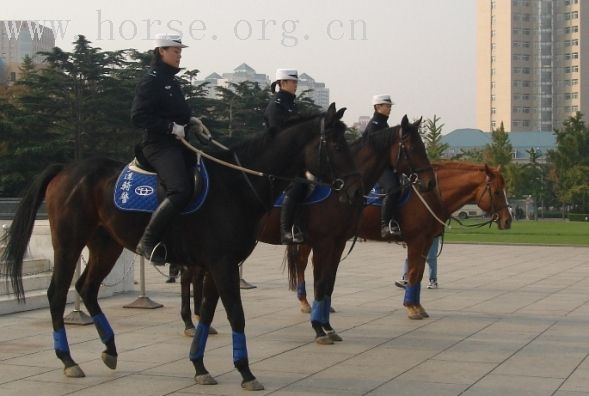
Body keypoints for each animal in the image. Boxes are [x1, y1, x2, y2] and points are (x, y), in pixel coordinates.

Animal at [0, 103, 360, 392]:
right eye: (337, 143)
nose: (354, 189)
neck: (237, 185)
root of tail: (66, 168)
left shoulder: (218, 264)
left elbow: (208, 313)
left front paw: (200, 365)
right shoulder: (222, 263)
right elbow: (235, 314)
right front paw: (245, 371)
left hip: (106, 245)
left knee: (86, 288)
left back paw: (110, 349)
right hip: (69, 242)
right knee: (58, 292)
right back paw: (68, 359)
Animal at [179, 115, 440, 344]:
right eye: (413, 147)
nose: (429, 182)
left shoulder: (338, 243)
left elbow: (328, 284)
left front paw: (327, 326)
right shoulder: (323, 243)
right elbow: (320, 284)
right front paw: (319, 328)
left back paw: (199, 320)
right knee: (188, 276)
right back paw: (191, 323)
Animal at [292, 159, 512, 320]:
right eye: (497, 191)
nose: (508, 220)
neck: (429, 194)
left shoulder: (427, 241)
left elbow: (419, 272)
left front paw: (417, 305)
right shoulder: (416, 240)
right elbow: (414, 272)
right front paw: (411, 307)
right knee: (302, 264)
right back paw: (305, 302)